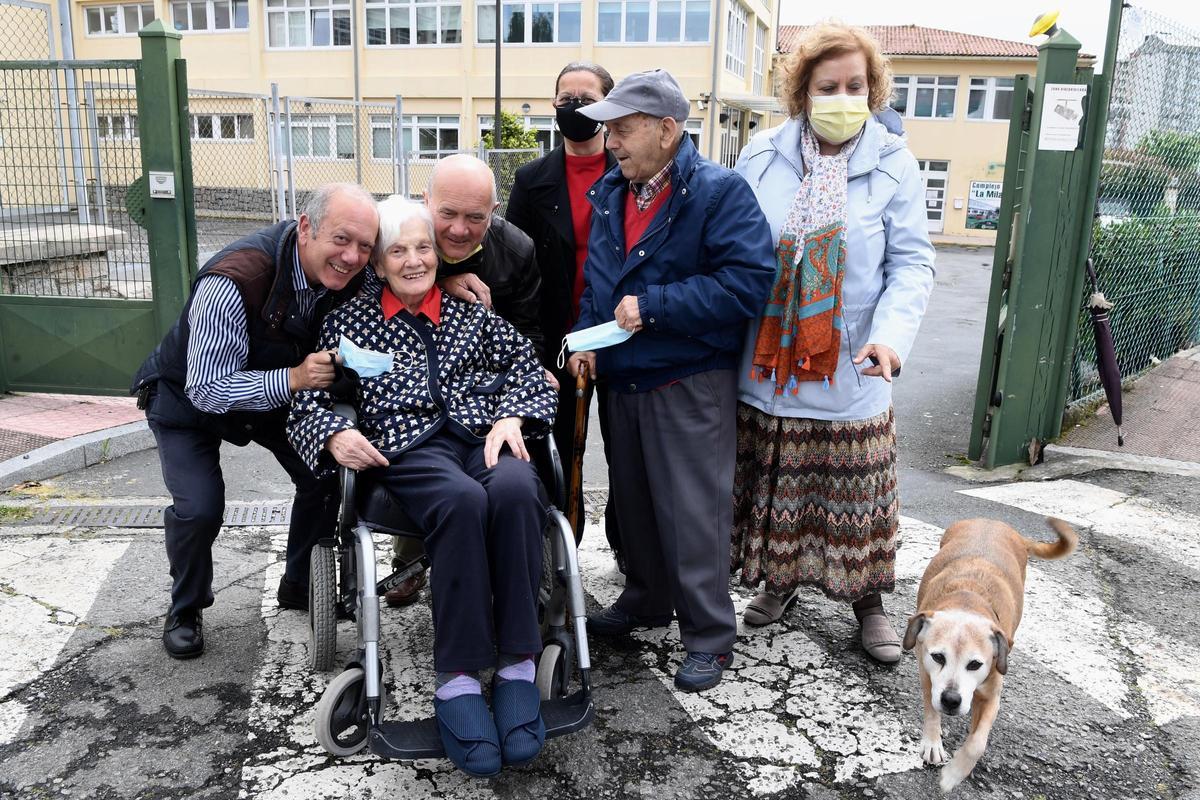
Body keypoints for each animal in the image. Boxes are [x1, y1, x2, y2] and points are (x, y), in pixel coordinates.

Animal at [902, 517, 1077, 792]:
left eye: (975, 664)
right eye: (938, 657)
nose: (951, 700)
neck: (967, 599)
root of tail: (992, 521)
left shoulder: (992, 693)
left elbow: (977, 742)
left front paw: (955, 772)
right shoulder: (927, 675)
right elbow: (931, 709)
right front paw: (932, 742)